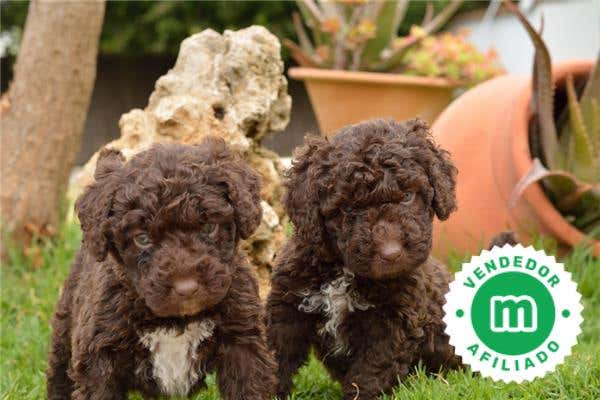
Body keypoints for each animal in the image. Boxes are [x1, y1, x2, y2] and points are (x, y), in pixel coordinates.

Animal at [47, 138, 276, 399]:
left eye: (209, 228)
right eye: (142, 239)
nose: (187, 288)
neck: (176, 320)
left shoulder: (243, 339)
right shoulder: (99, 353)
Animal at [267, 119, 462, 399]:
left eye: (407, 196)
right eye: (348, 208)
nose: (391, 253)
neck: (343, 271)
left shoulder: (392, 322)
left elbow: (370, 371)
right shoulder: (287, 306)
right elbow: (275, 356)